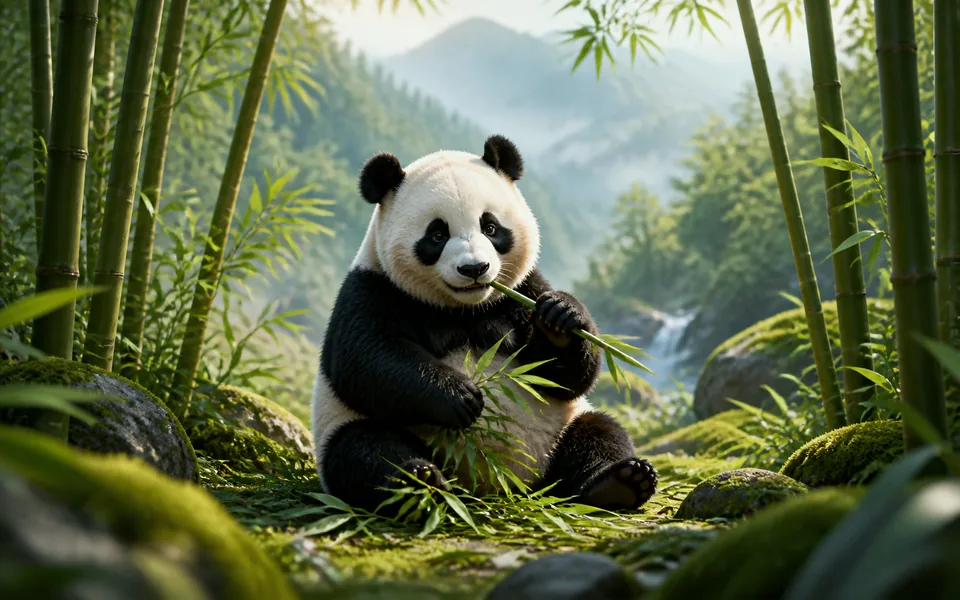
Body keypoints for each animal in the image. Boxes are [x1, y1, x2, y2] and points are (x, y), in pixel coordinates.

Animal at [311, 134, 658, 513]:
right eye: (436, 235)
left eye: (490, 227)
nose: (475, 268)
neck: (464, 308)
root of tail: (498, 486)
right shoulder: (374, 288)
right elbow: (364, 359)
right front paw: (461, 396)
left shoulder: (523, 289)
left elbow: (567, 378)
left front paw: (561, 317)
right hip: (351, 428)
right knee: (365, 451)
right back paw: (418, 483)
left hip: (559, 431)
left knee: (598, 432)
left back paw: (620, 482)